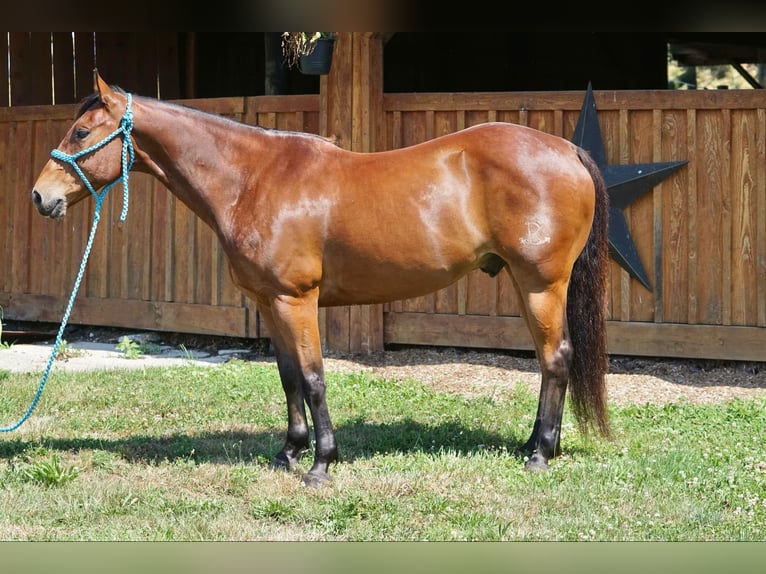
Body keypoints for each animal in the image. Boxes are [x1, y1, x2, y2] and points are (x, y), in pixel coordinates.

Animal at [31, 71, 610, 487]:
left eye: (80, 132)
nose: (40, 197)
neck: (252, 179)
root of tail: (568, 150)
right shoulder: (269, 302)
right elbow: (289, 377)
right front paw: (288, 452)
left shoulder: (297, 301)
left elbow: (313, 378)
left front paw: (321, 464)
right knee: (549, 361)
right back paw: (534, 445)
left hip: (540, 285)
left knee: (556, 358)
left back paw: (540, 455)